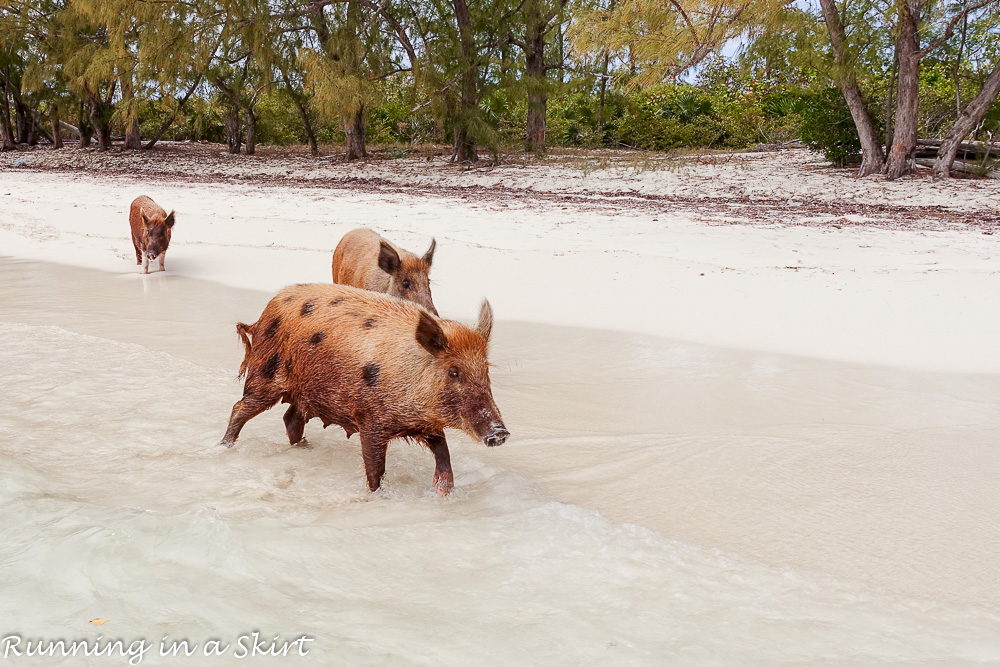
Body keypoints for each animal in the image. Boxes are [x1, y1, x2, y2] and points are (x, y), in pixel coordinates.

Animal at [224, 282, 512, 496]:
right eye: (454, 371)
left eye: (485, 371)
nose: (500, 432)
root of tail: (268, 309)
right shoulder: (370, 421)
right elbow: (375, 470)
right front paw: (376, 496)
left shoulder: (426, 422)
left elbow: (444, 454)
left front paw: (443, 492)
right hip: (264, 375)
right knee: (239, 408)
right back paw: (225, 447)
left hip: (307, 393)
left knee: (291, 418)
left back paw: (305, 449)